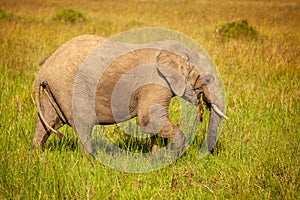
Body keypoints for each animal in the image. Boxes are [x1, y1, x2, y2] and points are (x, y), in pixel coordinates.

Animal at [33, 34, 227, 155]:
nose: (213, 152)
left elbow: (152, 123)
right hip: (70, 88)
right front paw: (171, 158)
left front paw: (155, 157)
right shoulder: (155, 83)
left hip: (55, 90)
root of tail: (44, 69)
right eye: (208, 79)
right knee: (83, 123)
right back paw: (91, 161)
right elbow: (149, 118)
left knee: (47, 121)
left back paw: (38, 155)